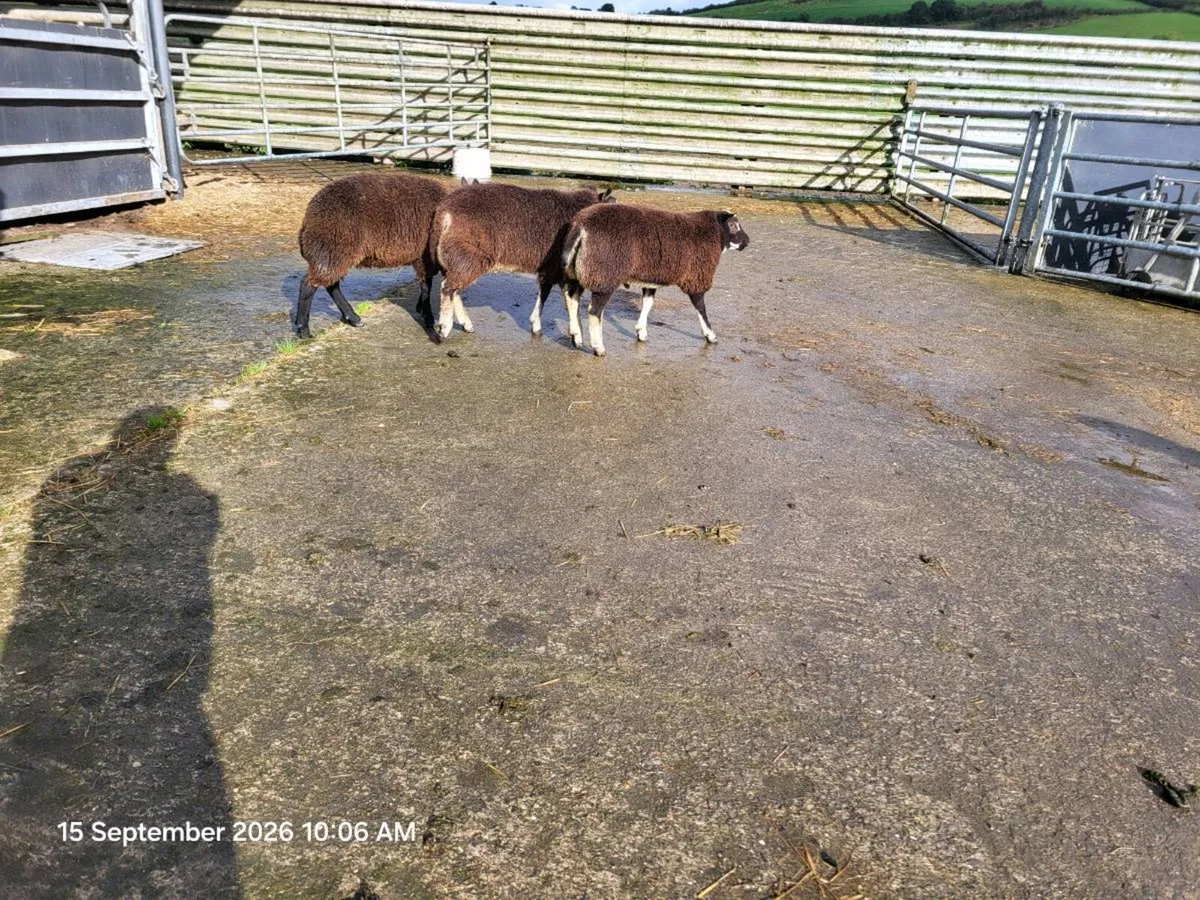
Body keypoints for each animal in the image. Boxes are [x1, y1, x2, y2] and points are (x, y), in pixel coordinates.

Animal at [294, 172, 450, 339]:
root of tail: (307, 219)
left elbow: (425, 285)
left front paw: (420, 308)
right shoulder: (425, 258)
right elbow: (426, 287)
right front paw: (428, 318)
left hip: (334, 253)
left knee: (331, 284)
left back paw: (353, 318)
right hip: (332, 249)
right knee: (308, 285)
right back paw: (303, 329)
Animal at [430, 182, 613, 342]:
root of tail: (445, 209)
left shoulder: (554, 269)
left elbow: (560, 297)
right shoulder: (555, 268)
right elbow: (549, 295)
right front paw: (541, 327)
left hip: (457, 257)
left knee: (454, 288)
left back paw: (466, 325)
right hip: (469, 256)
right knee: (447, 288)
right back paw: (444, 329)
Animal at [560, 205, 750, 356]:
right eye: (733, 225)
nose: (747, 241)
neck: (715, 235)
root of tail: (580, 227)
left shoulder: (651, 278)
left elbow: (648, 303)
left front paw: (641, 332)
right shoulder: (696, 277)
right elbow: (701, 308)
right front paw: (710, 335)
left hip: (578, 271)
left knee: (571, 298)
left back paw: (576, 337)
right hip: (604, 274)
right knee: (594, 311)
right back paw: (598, 348)